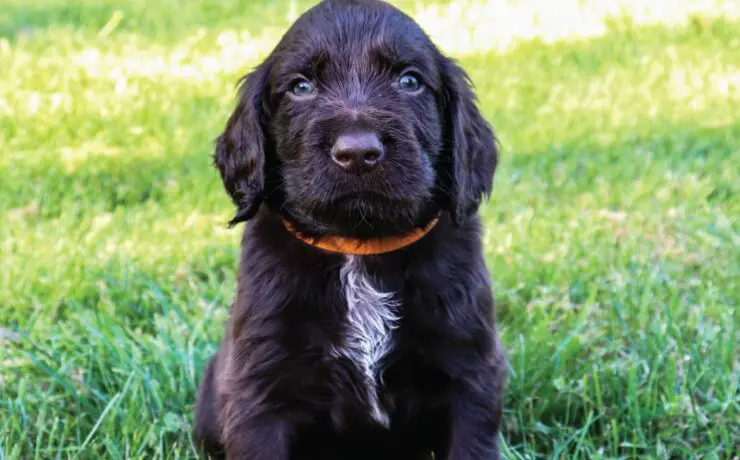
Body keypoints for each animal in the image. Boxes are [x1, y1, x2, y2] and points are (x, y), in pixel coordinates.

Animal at [195, 0, 508, 460]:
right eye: (301, 87)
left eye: (409, 81)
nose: (358, 152)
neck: (360, 249)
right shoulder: (261, 386)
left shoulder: (470, 371)